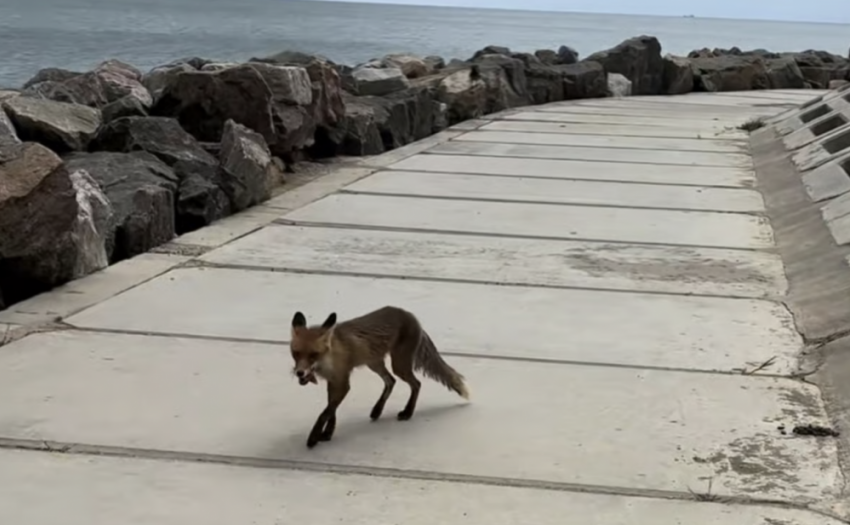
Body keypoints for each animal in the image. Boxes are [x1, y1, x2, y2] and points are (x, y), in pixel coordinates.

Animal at [289, 305, 470, 448]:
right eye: (296, 353)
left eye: (313, 355)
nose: (300, 373)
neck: (329, 360)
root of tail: (410, 315)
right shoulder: (333, 382)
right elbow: (331, 410)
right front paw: (327, 433)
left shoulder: (343, 383)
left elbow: (325, 412)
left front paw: (314, 437)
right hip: (375, 363)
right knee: (391, 381)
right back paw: (377, 410)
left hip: (399, 365)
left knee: (416, 384)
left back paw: (408, 412)